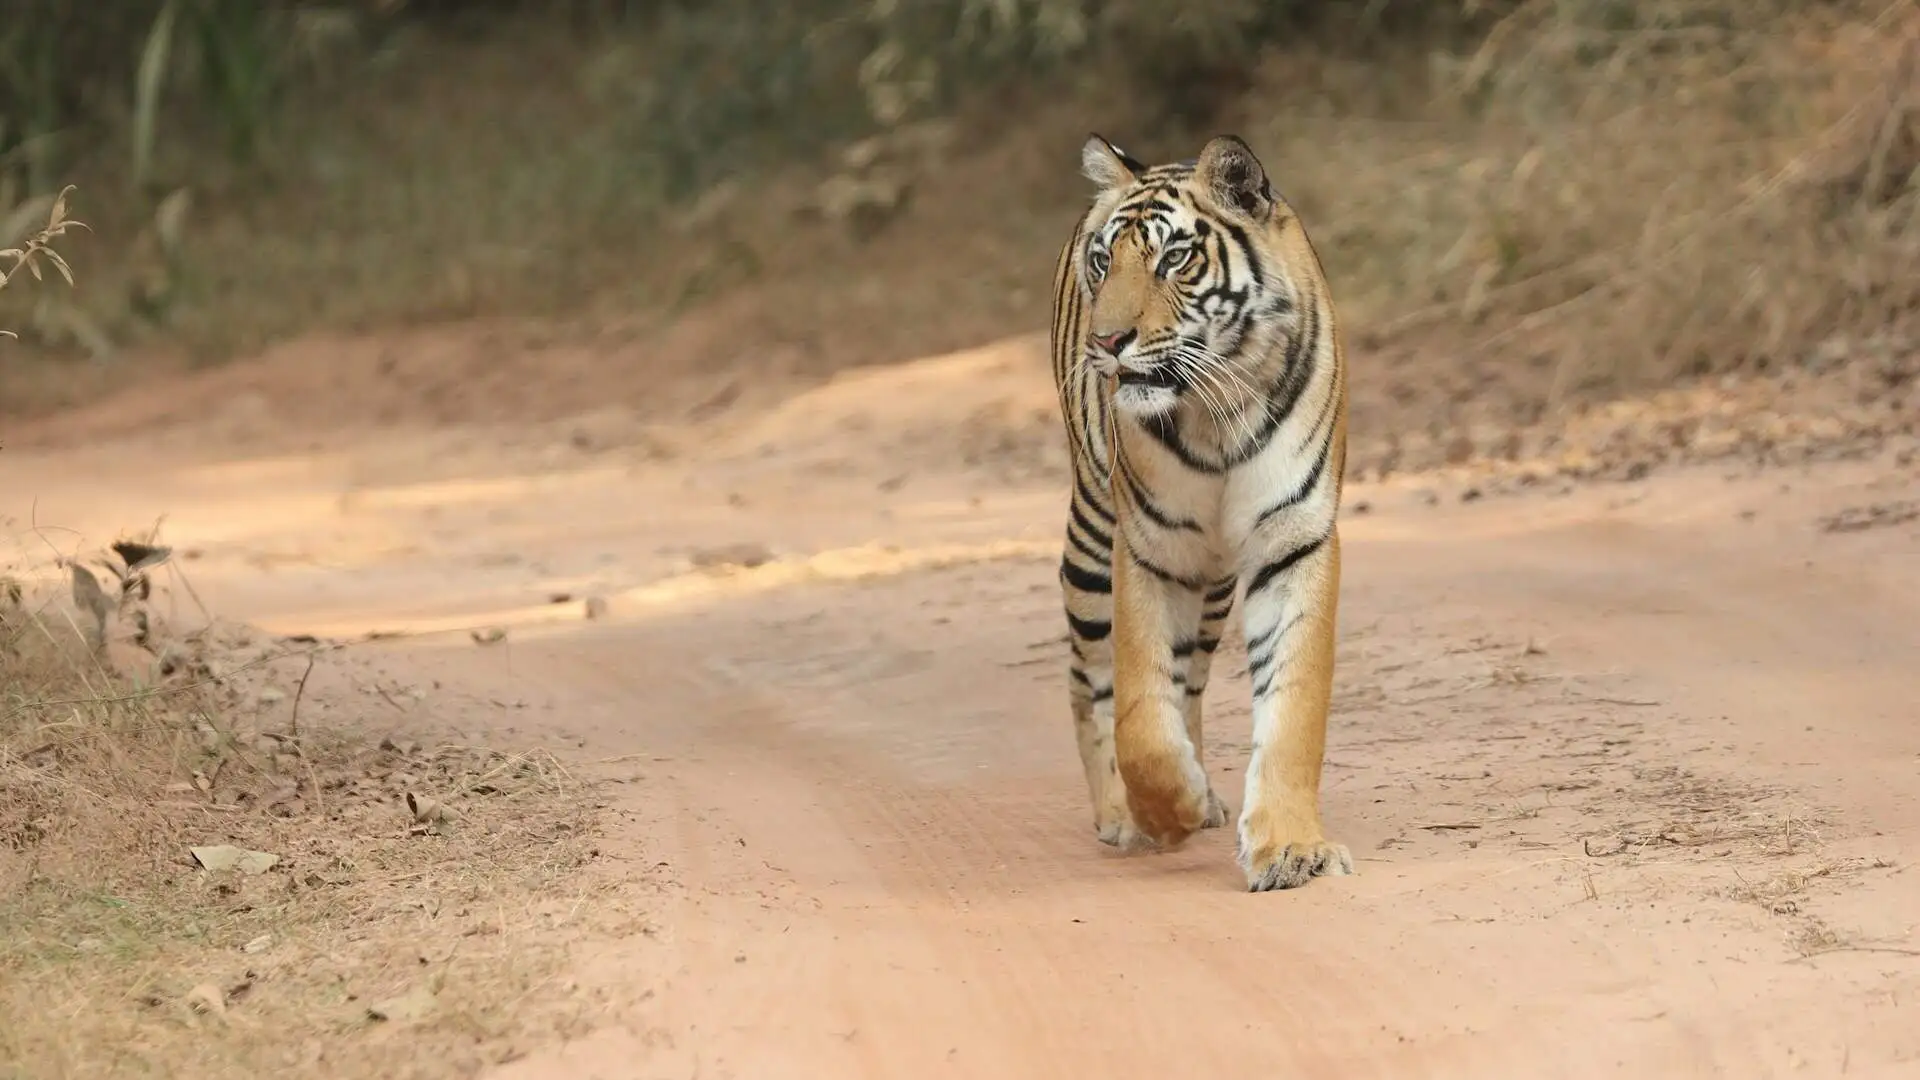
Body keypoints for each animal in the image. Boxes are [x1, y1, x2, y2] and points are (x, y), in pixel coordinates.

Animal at [1052, 132, 1351, 891]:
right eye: (1105, 261)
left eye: (1173, 259)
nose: (1107, 343)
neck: (1218, 413)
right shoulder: (1148, 549)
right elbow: (1140, 716)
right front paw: (1168, 810)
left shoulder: (1294, 541)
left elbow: (1293, 707)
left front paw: (1291, 848)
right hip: (1092, 543)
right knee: (1088, 679)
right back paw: (1121, 814)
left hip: (1212, 581)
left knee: (1189, 677)